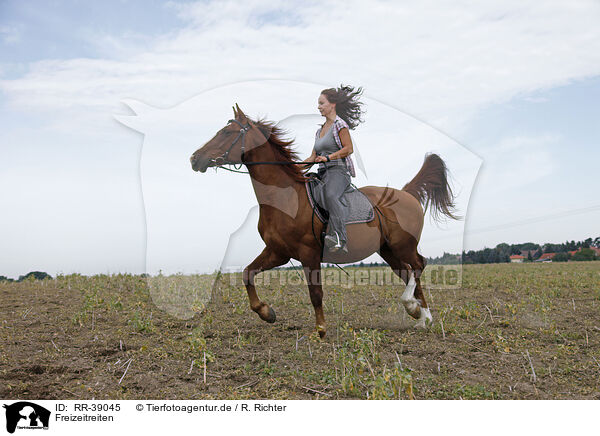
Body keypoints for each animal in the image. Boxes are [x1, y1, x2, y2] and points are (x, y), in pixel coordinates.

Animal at [190, 104, 458, 338]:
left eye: (226, 133)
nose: (194, 158)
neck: (284, 197)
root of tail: (406, 193)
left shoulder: (308, 253)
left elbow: (315, 293)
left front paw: (320, 330)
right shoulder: (278, 252)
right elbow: (247, 273)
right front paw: (267, 313)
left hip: (404, 245)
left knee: (419, 265)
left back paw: (415, 309)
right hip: (388, 250)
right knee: (409, 272)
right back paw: (421, 317)